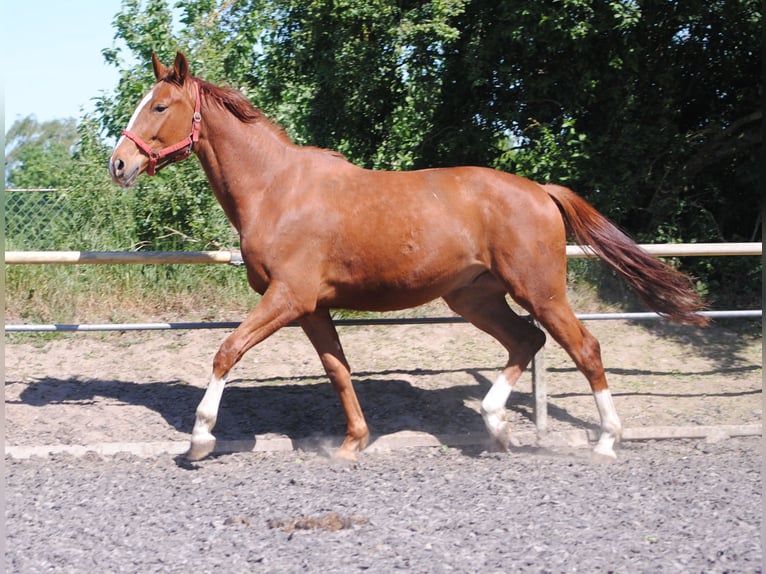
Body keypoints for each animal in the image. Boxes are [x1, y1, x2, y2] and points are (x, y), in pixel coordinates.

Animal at [109, 52, 707, 462]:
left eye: (160, 106)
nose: (118, 165)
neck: (276, 189)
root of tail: (540, 190)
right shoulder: (312, 307)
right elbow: (338, 370)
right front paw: (352, 443)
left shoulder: (288, 297)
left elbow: (226, 352)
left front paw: (200, 438)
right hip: (474, 297)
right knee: (526, 341)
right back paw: (496, 426)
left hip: (540, 291)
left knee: (584, 347)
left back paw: (605, 441)